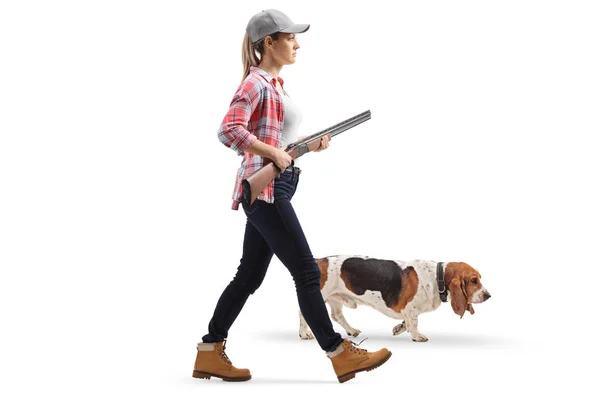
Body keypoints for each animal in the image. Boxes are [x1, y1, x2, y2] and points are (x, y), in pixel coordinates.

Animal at [298, 256, 490, 340]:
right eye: (474, 280)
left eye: (480, 278)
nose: (488, 295)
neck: (438, 277)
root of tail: (319, 261)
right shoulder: (410, 309)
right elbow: (414, 323)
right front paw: (417, 336)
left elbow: (407, 323)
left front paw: (399, 328)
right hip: (320, 295)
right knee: (304, 314)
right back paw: (304, 333)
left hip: (336, 300)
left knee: (337, 316)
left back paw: (351, 330)